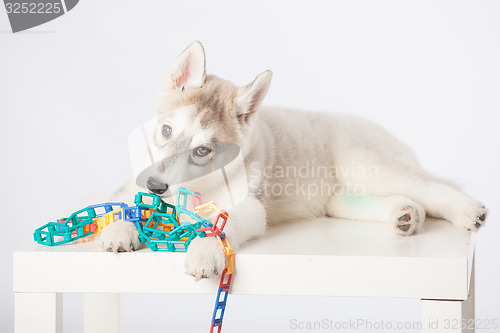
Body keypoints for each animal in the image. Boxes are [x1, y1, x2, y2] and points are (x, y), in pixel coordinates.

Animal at [98, 40, 488, 280]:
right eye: (166, 131)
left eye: (203, 151)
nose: (156, 185)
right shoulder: (133, 187)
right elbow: (125, 204)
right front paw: (120, 227)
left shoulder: (250, 207)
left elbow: (217, 225)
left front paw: (205, 250)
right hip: (338, 197)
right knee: (396, 200)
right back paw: (405, 216)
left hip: (365, 165)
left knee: (430, 187)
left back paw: (467, 211)